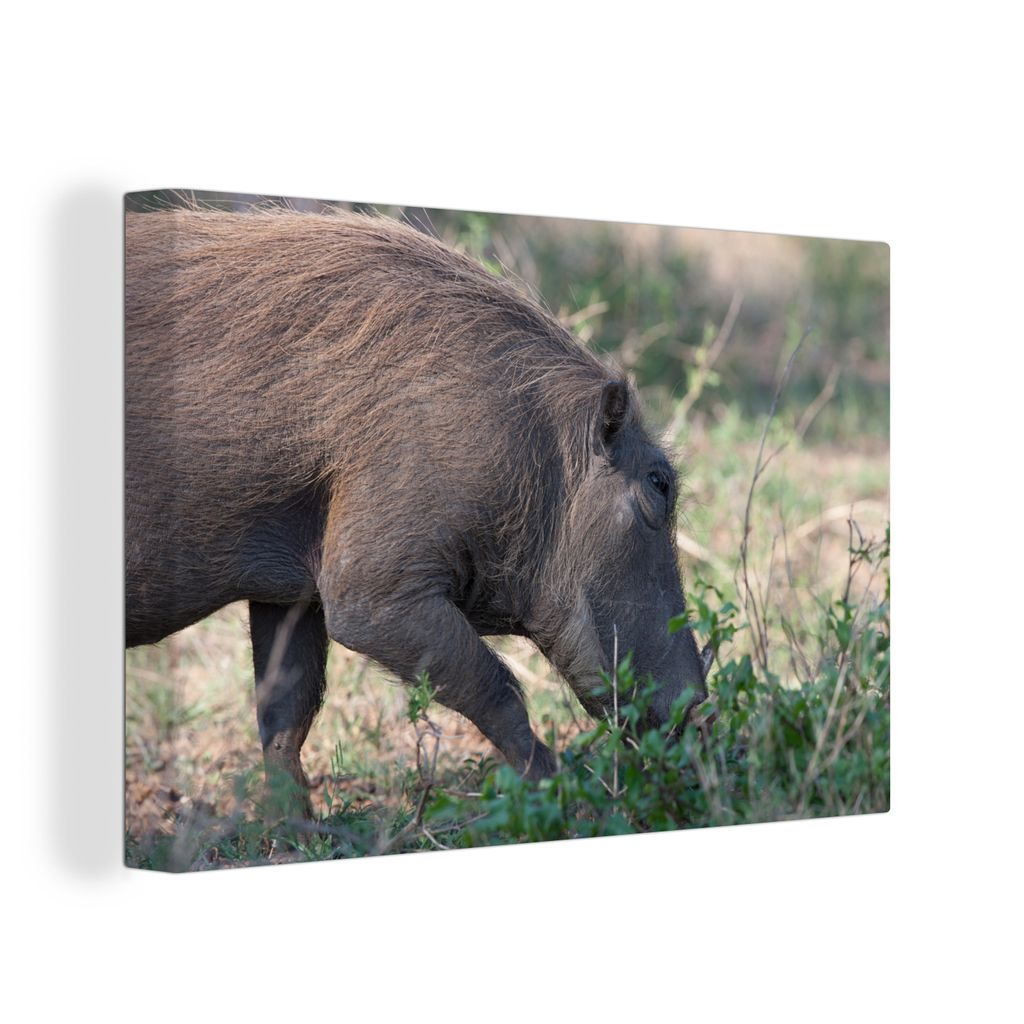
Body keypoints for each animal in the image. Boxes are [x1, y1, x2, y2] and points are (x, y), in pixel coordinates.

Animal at [125, 204, 709, 813]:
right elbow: (499, 692)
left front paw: (295, 827)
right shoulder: (374, 594)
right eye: (659, 484)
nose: (701, 718)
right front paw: (556, 798)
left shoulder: (291, 594)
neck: (537, 452)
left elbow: (285, 717)